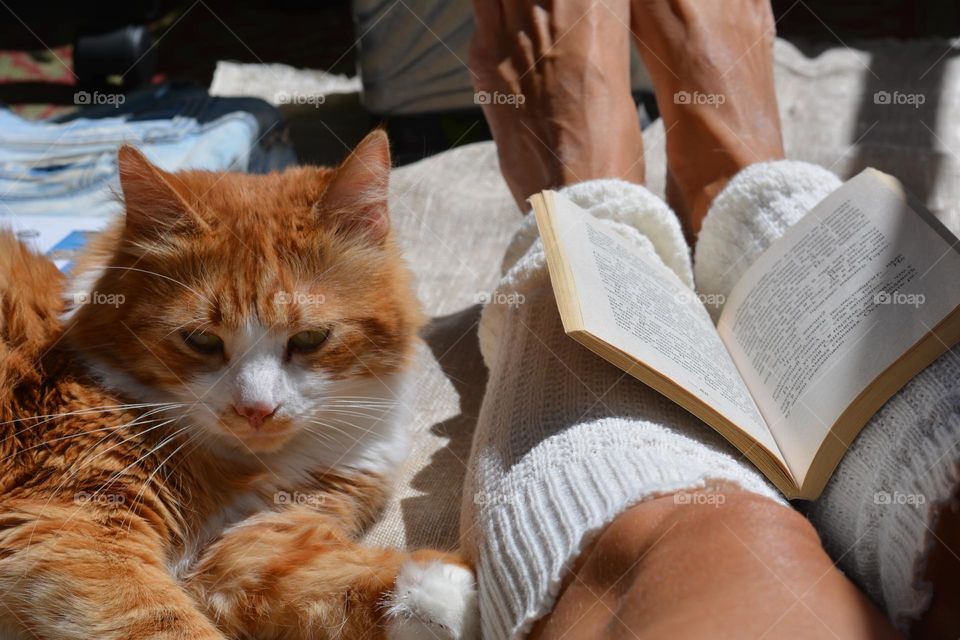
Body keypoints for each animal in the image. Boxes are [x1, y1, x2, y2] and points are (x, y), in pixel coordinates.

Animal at [0, 131, 480, 640]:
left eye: (310, 339)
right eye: (201, 340)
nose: (257, 410)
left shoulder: (252, 542)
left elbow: (331, 582)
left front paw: (459, 599)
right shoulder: (71, 524)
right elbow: (164, 622)